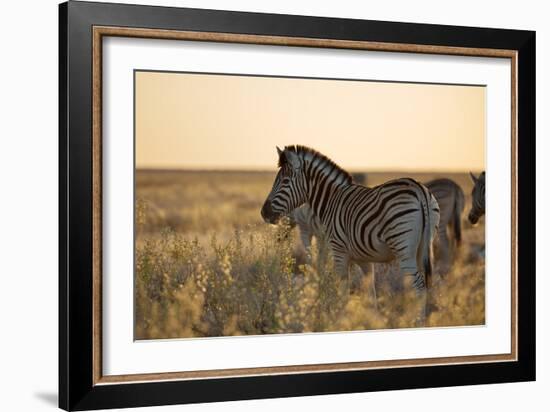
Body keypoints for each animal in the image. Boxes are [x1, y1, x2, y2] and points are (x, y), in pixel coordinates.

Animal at [260, 146, 442, 322]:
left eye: (284, 181)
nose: (264, 213)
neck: (330, 201)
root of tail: (419, 189)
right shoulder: (364, 258)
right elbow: (370, 291)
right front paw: (373, 321)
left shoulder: (339, 251)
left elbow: (342, 290)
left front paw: (340, 319)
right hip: (423, 247)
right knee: (424, 285)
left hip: (403, 249)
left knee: (418, 286)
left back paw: (417, 322)